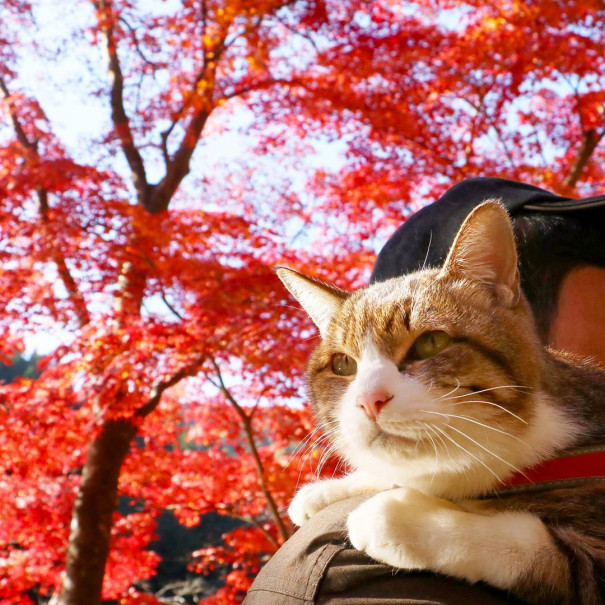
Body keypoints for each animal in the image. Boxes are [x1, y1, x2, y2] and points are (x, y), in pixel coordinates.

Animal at [278, 202, 604, 604]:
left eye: (429, 343)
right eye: (343, 365)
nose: (369, 399)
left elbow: (535, 546)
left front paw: (403, 519)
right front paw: (330, 489)